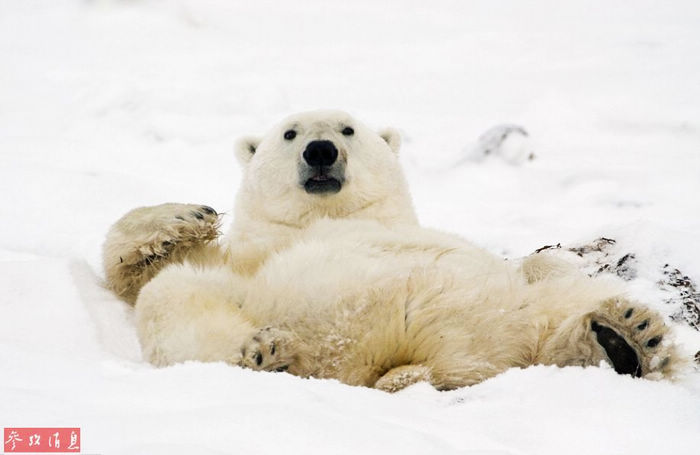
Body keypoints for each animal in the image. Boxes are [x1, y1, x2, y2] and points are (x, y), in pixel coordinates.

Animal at [104, 110, 684, 392]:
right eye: (290, 133)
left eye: (347, 129)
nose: (321, 150)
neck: (327, 217)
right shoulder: (249, 259)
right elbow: (152, 275)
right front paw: (186, 217)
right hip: (265, 303)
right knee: (178, 302)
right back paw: (266, 353)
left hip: (514, 314)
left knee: (553, 300)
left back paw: (627, 337)